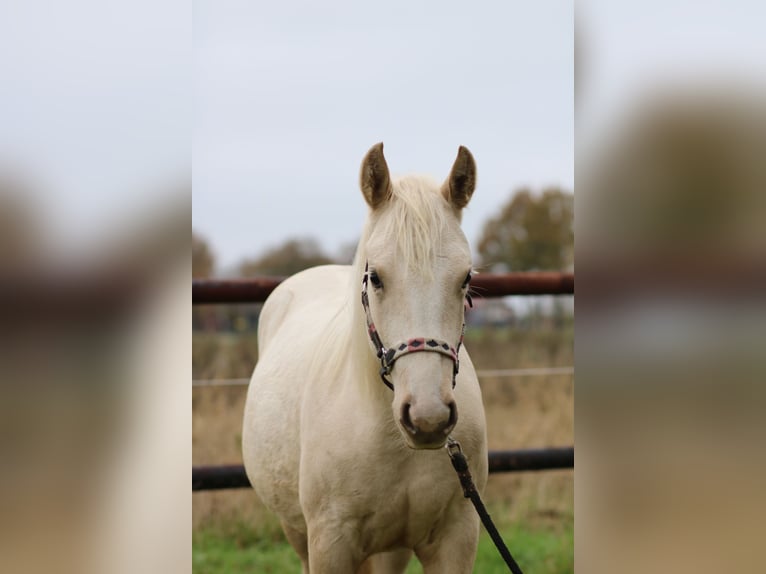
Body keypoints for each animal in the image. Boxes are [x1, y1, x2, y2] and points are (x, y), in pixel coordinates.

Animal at [243, 144, 488, 574]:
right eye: (376, 278)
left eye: (466, 278)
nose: (428, 418)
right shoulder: (330, 542)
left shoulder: (456, 537)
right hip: (297, 531)